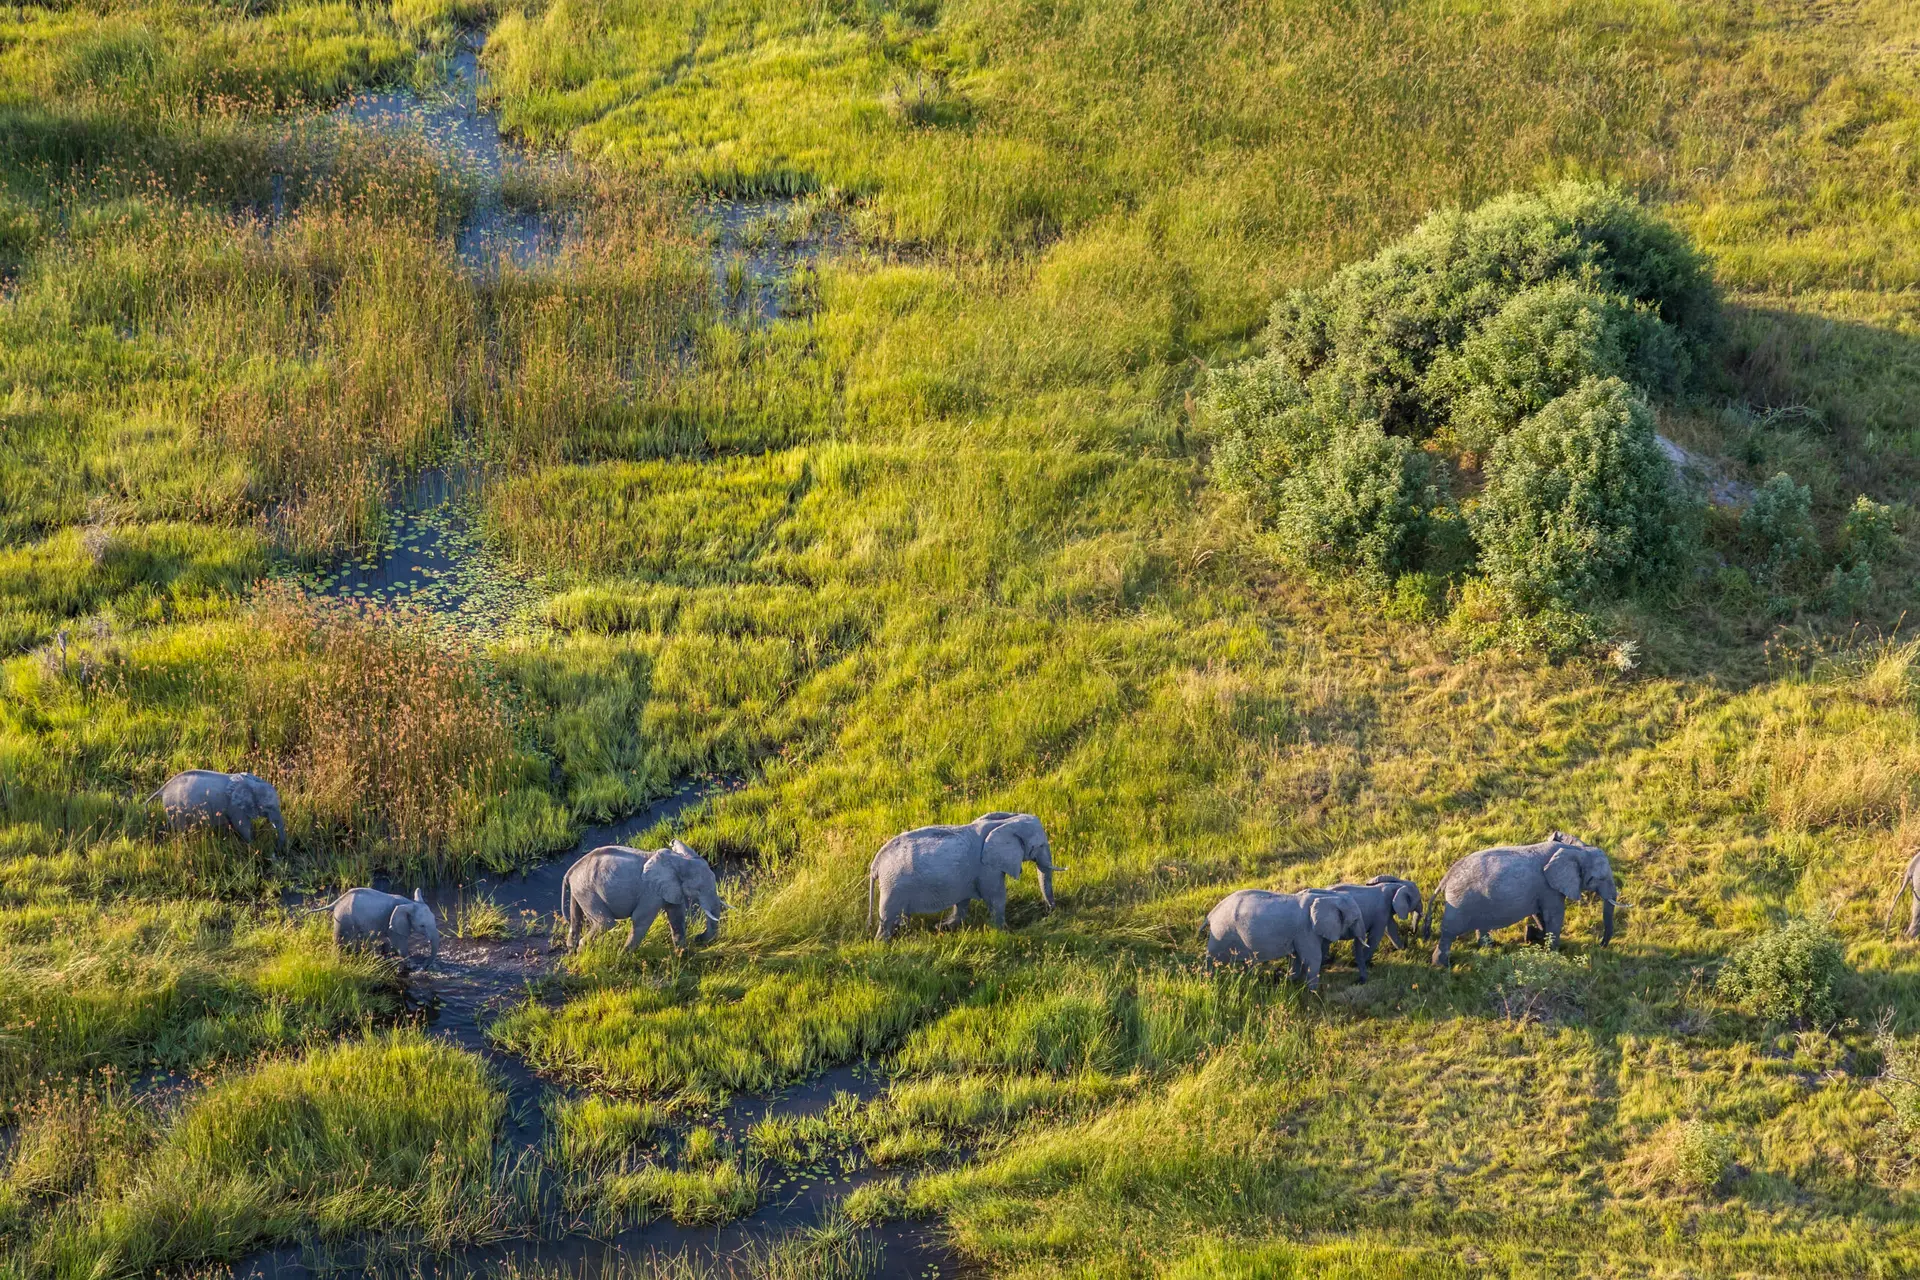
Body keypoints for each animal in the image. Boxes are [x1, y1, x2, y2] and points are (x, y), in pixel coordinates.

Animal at [146, 769, 286, 850]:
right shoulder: (235, 806)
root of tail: (163, 788)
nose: (278, 851)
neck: (251, 783)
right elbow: (242, 826)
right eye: (269, 807)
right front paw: (253, 845)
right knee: (181, 829)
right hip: (174, 808)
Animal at [561, 839, 727, 952]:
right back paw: (582, 951)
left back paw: (572, 951)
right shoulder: (650, 893)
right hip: (588, 890)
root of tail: (570, 871)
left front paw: (682, 955)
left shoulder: (672, 888)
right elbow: (641, 920)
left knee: (576, 916)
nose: (698, 938)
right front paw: (624, 956)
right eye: (698, 889)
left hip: (580, 890)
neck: (678, 860)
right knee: (606, 923)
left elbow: (677, 916)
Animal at [868, 812, 1061, 940]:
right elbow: (996, 897)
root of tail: (876, 863)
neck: (1006, 821)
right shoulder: (986, 868)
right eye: (1039, 846)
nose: (1049, 911)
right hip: (893, 885)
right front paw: (1005, 931)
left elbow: (962, 901)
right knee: (888, 914)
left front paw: (943, 927)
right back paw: (882, 943)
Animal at [1203, 888, 1366, 991]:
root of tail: (1211, 914)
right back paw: (1208, 981)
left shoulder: (1300, 933)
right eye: (1355, 920)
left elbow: (1297, 956)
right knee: (1213, 959)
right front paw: (1313, 993)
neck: (1329, 895)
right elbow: (1312, 958)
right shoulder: (1306, 930)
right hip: (1222, 934)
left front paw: (1290, 980)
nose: (1359, 981)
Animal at [1427, 832, 1621, 968]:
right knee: (1449, 932)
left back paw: (1490, 946)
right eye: (1599, 879)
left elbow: (1540, 914)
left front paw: (1532, 935)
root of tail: (1447, 876)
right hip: (1459, 903)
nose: (1600, 946)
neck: (1576, 851)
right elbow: (1554, 915)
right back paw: (1442, 965)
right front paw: (1553, 952)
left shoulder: (1542, 890)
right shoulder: (1548, 887)